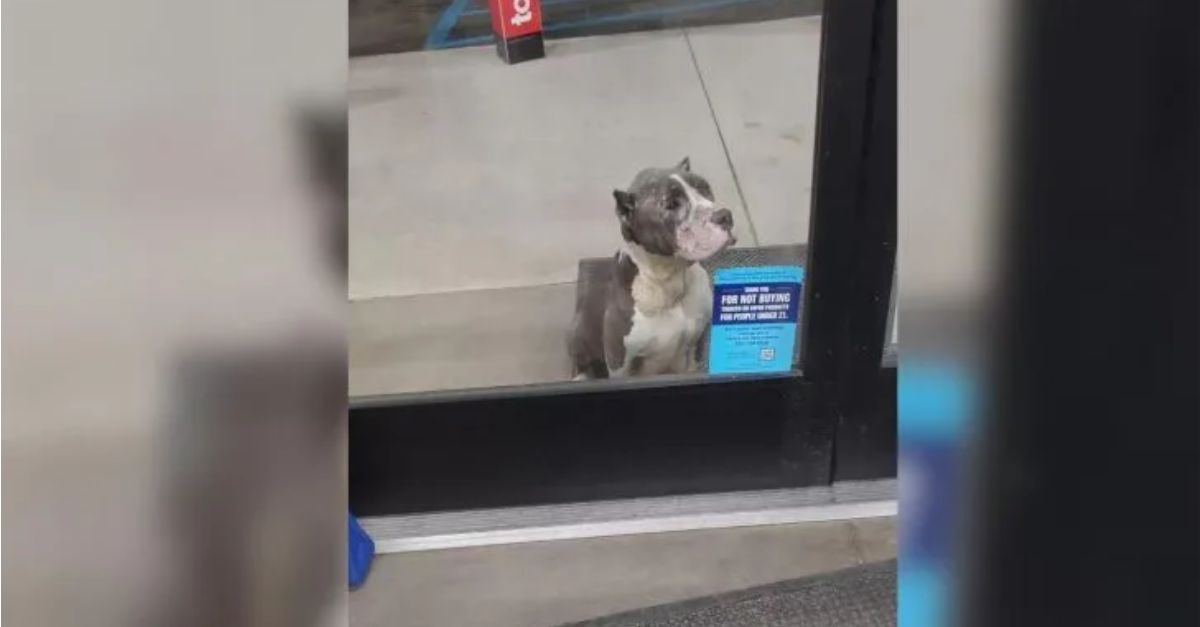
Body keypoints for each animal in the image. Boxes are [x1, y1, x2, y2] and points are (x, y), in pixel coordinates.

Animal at [568, 158, 729, 377]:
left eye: (705, 188)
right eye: (671, 204)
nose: (725, 216)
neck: (669, 279)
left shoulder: (699, 341)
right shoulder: (619, 361)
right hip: (579, 335)